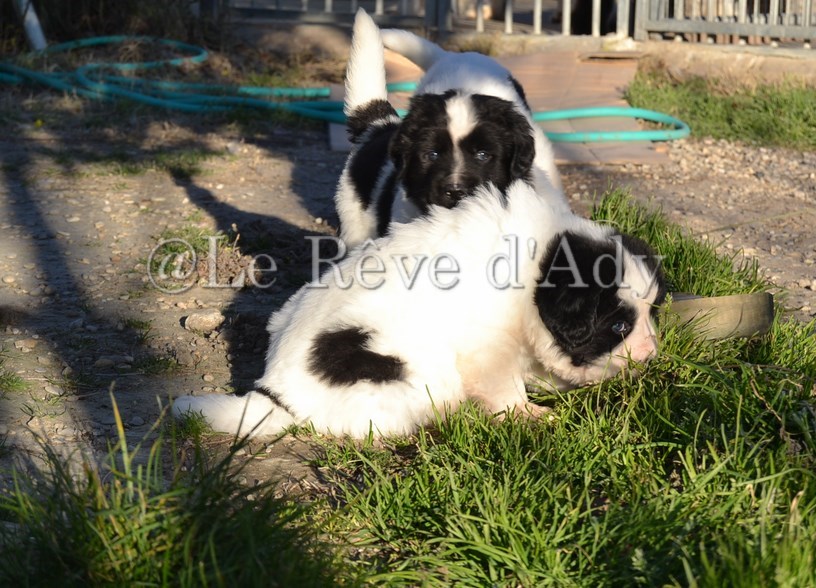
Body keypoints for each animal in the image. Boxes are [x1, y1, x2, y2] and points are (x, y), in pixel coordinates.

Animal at [173, 179, 666, 439]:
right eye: (618, 325)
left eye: (651, 314)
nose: (651, 353)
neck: (537, 264)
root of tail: (276, 391)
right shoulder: (488, 347)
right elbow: (504, 387)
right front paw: (527, 415)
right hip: (409, 374)